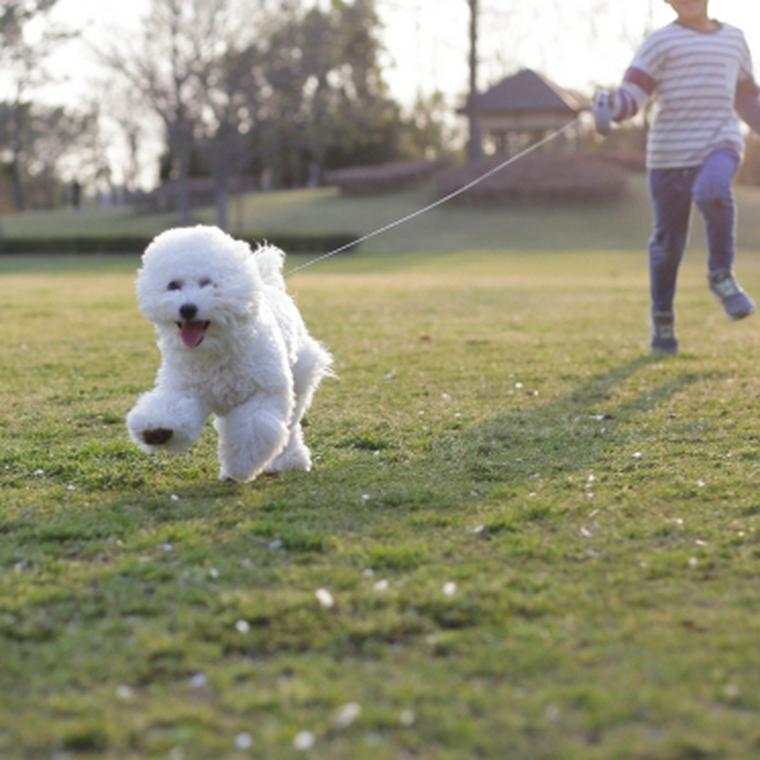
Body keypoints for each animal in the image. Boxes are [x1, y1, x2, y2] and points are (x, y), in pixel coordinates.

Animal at [126, 226, 332, 480]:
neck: (216, 350)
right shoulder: (185, 389)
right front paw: (157, 431)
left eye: (208, 283)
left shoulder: (263, 393)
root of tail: (268, 284)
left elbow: (253, 430)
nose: (187, 309)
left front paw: (239, 467)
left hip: (301, 376)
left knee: (290, 426)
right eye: (173, 285)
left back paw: (290, 460)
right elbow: (172, 408)